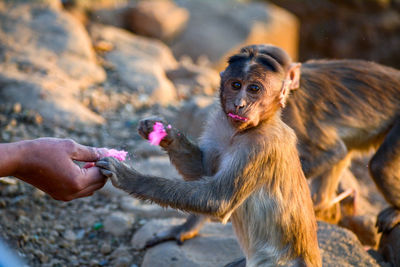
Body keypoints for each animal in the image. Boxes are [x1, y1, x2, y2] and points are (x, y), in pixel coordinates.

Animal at [97, 45, 322, 267]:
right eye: (236, 85)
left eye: (254, 89)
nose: (239, 104)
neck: (244, 131)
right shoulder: (217, 123)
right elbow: (202, 172)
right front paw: (165, 134)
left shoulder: (261, 148)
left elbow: (217, 200)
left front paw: (129, 177)